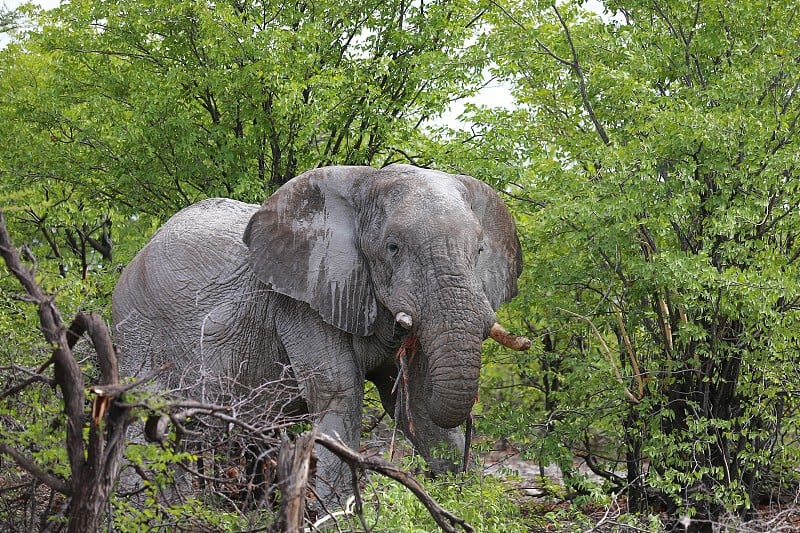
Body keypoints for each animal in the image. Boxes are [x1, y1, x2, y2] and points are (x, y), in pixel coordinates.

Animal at [112, 162, 524, 508]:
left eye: (480, 250)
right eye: (393, 247)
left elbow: (419, 406)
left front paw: (463, 502)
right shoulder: (302, 302)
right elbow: (339, 394)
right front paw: (337, 513)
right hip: (138, 332)